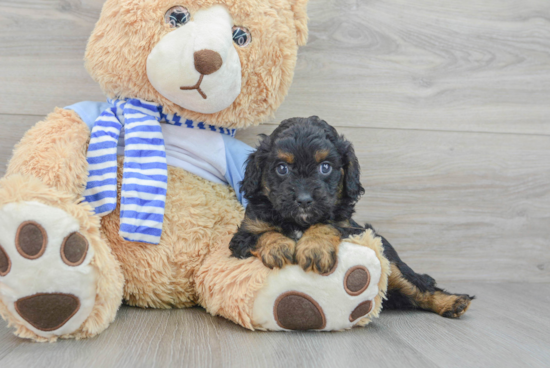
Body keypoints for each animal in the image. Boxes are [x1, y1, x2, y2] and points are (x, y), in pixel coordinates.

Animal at [231, 116, 476, 318]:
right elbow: (262, 234)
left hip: (392, 263)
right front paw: (278, 246)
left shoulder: (352, 228)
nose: (304, 199)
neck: (298, 221)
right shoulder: (243, 235)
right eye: (282, 168)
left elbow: (327, 225)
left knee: (419, 287)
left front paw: (314, 247)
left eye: (325, 167)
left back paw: (452, 302)